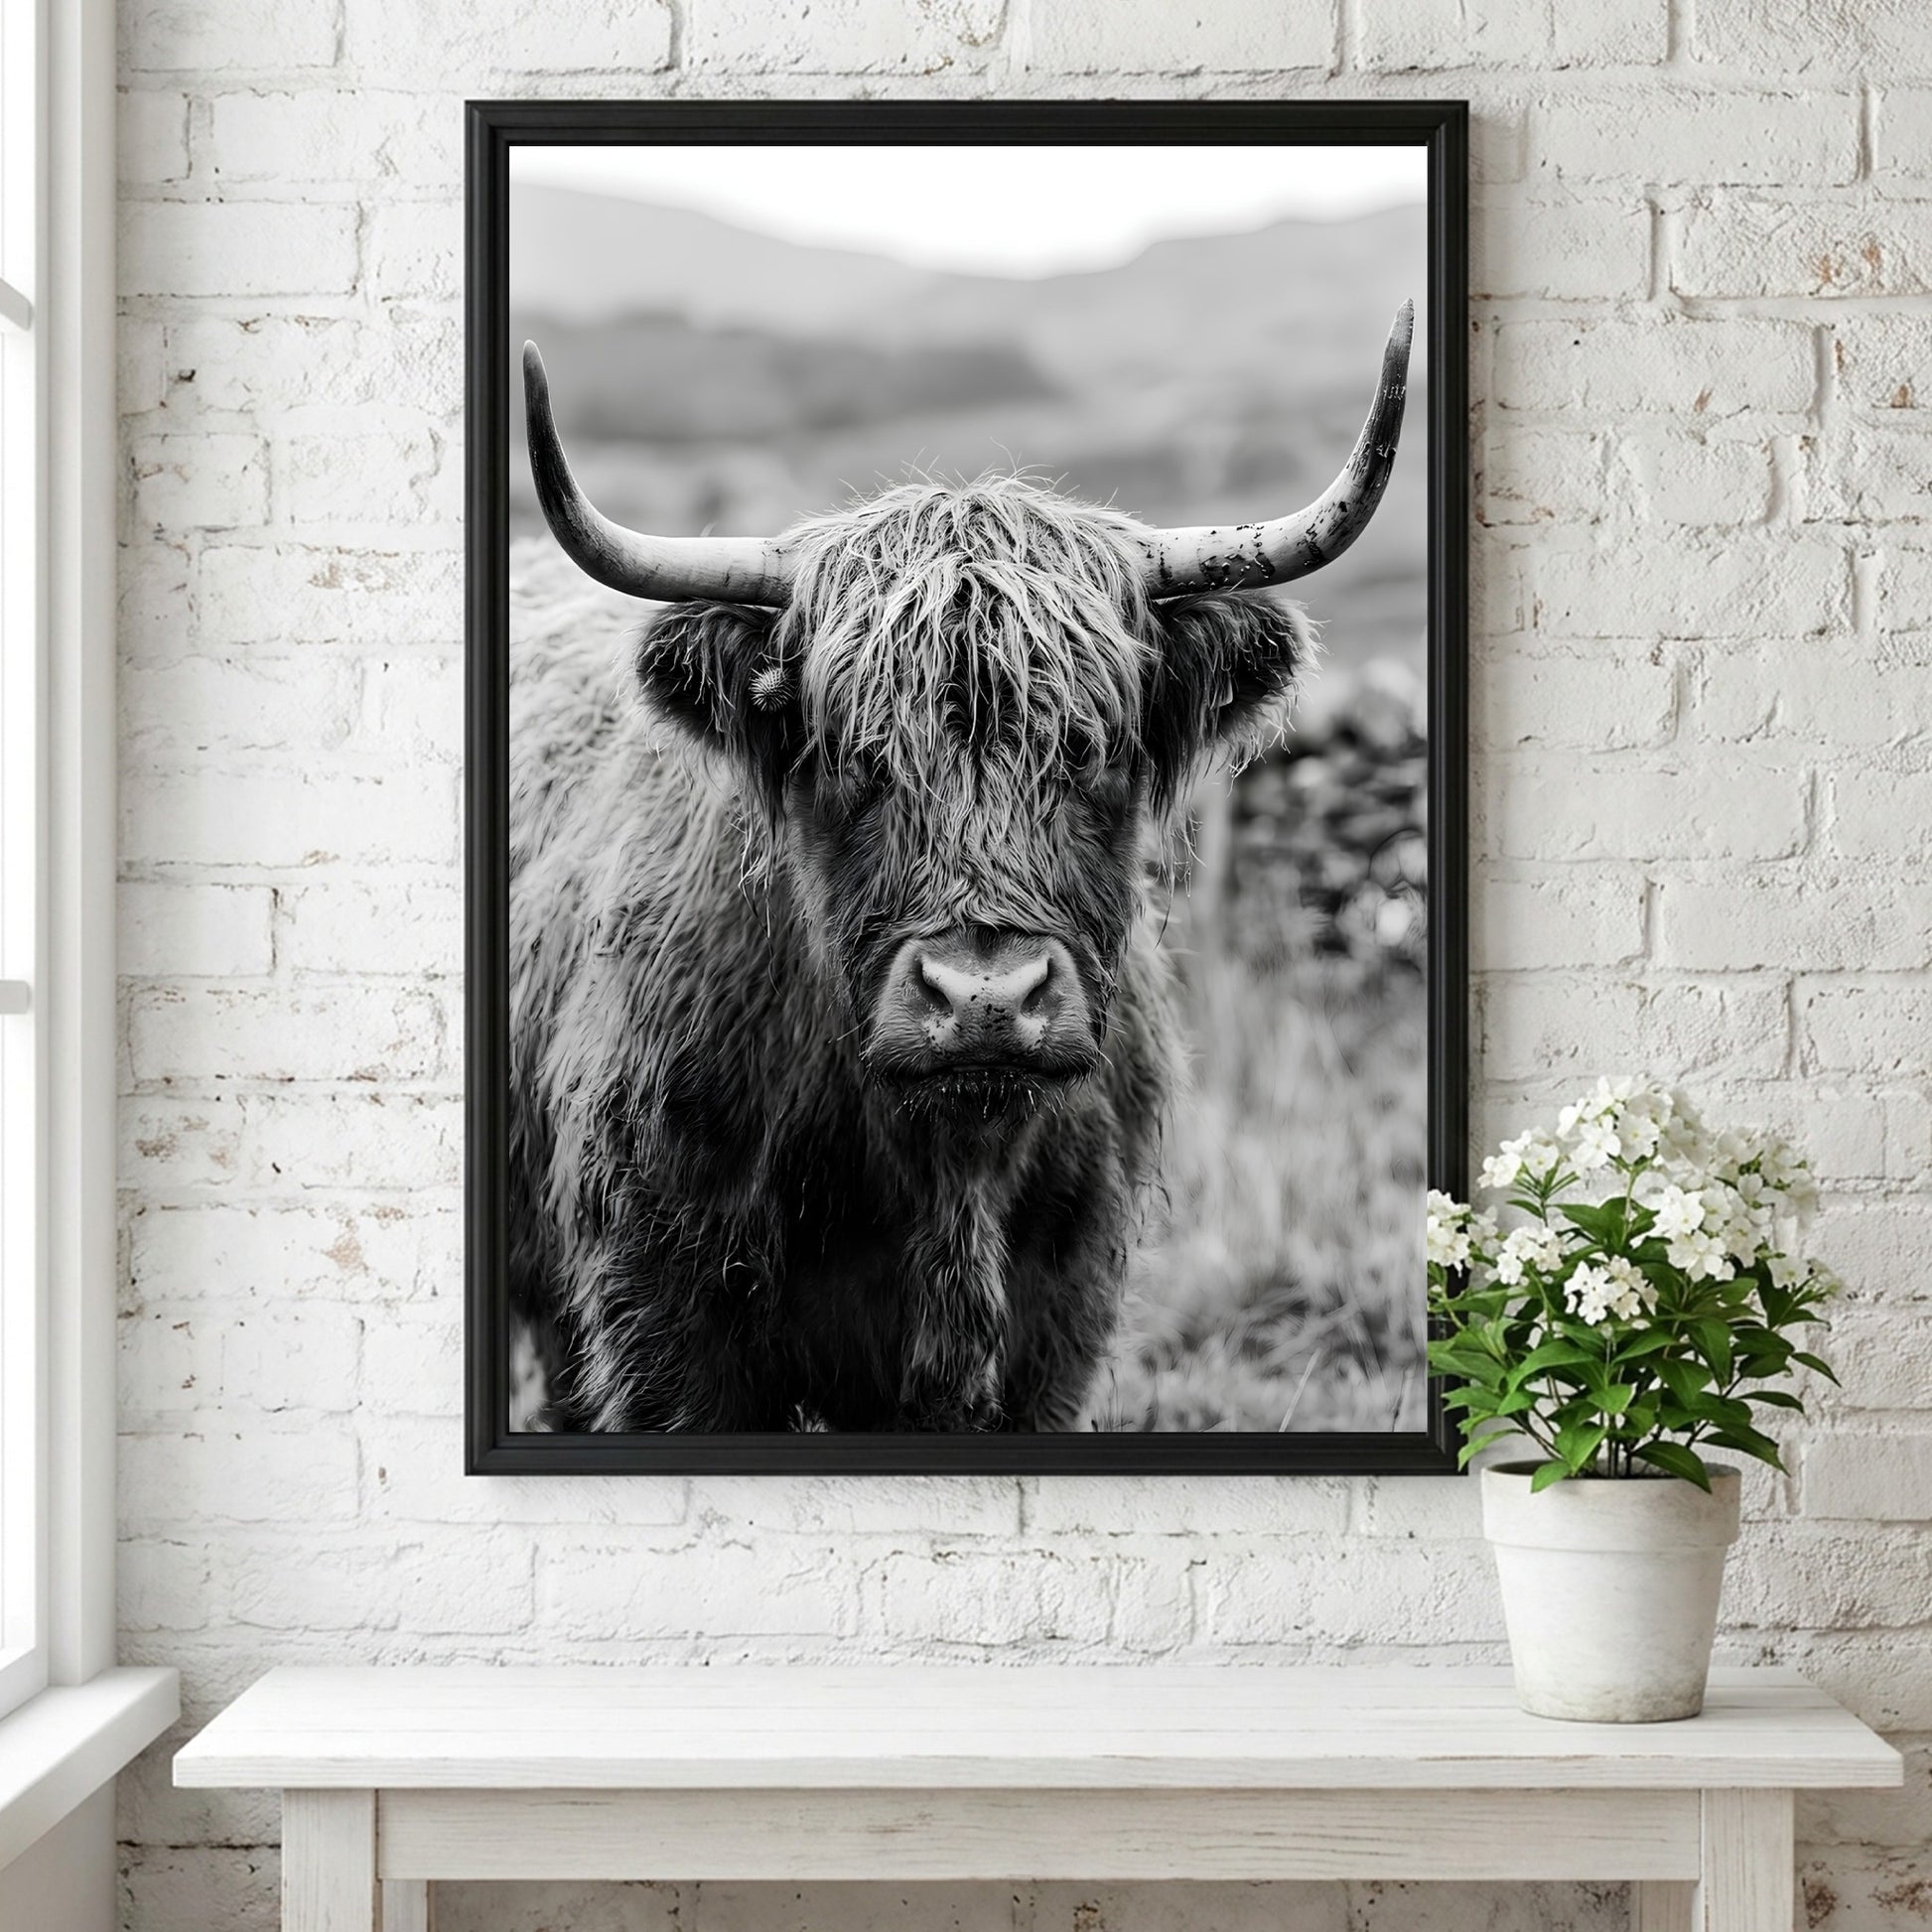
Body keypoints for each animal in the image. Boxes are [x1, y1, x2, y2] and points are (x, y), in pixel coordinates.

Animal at [507, 304, 1411, 1433]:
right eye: (854, 758)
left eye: (1092, 750)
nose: (985, 998)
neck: (947, 1167)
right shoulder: (662, 1319)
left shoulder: (1056, 1326)